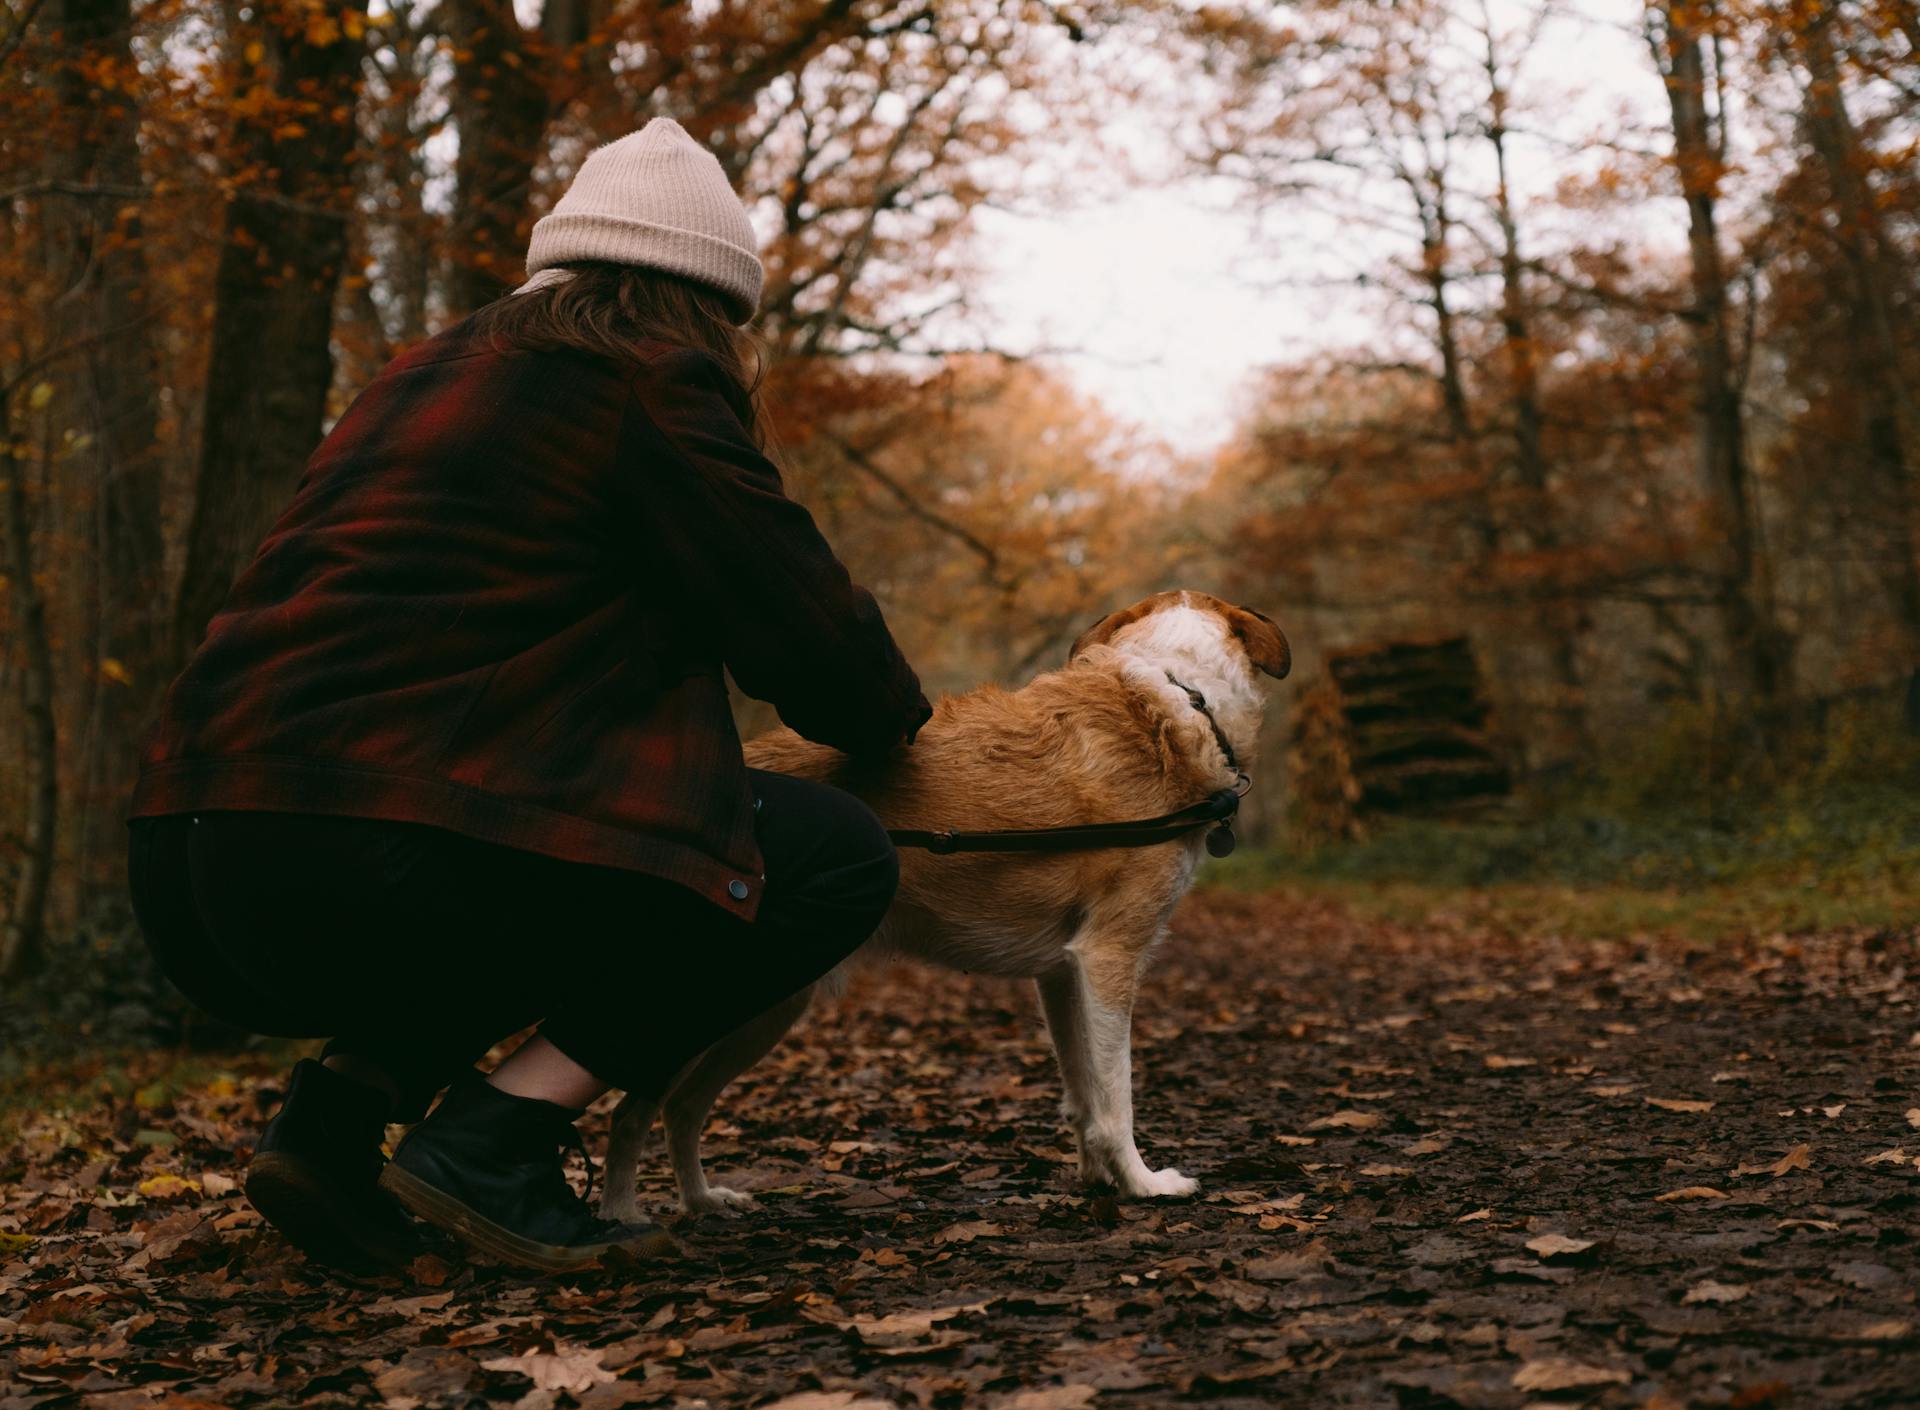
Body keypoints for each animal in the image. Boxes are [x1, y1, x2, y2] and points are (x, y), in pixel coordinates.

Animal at [599, 591, 1290, 1221]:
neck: (1176, 699)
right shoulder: (1109, 958)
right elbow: (1115, 1093)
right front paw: (1142, 1183)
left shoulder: (1062, 974)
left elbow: (1082, 1094)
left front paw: (1097, 1177)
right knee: (631, 1111)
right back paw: (620, 1218)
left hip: (765, 1011)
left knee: (677, 1106)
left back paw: (698, 1202)